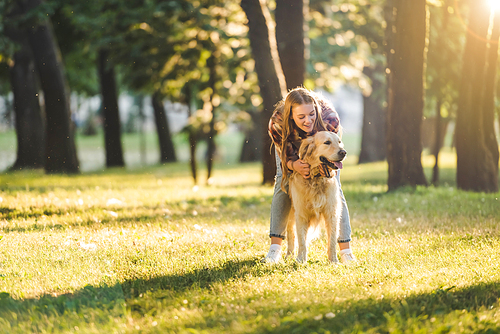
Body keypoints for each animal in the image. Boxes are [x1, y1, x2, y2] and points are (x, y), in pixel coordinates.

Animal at [286, 130, 348, 264]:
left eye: (339, 142)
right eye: (327, 142)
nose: (343, 152)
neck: (316, 178)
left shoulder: (332, 213)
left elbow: (332, 241)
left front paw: (333, 261)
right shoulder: (301, 215)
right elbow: (301, 241)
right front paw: (301, 260)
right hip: (291, 216)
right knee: (291, 235)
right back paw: (289, 256)